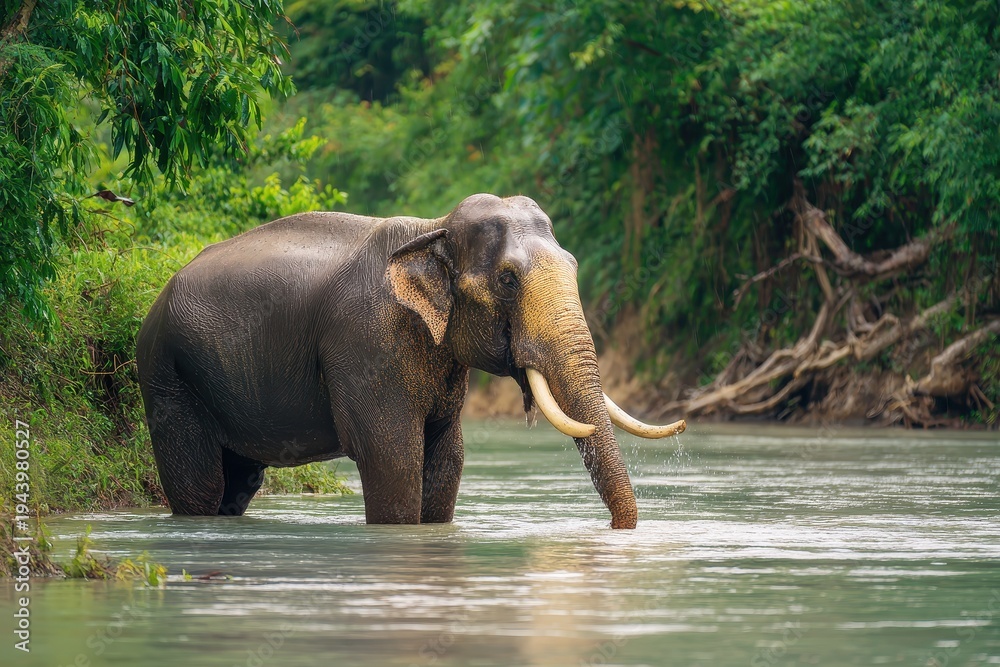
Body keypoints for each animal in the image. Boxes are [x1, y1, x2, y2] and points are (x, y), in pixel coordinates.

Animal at [136, 193, 685, 528]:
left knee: (239, 483)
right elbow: (392, 456)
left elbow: (448, 458)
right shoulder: (366, 343)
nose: (615, 529)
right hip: (166, 374)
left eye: (572, 264)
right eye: (508, 280)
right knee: (201, 484)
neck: (434, 227)